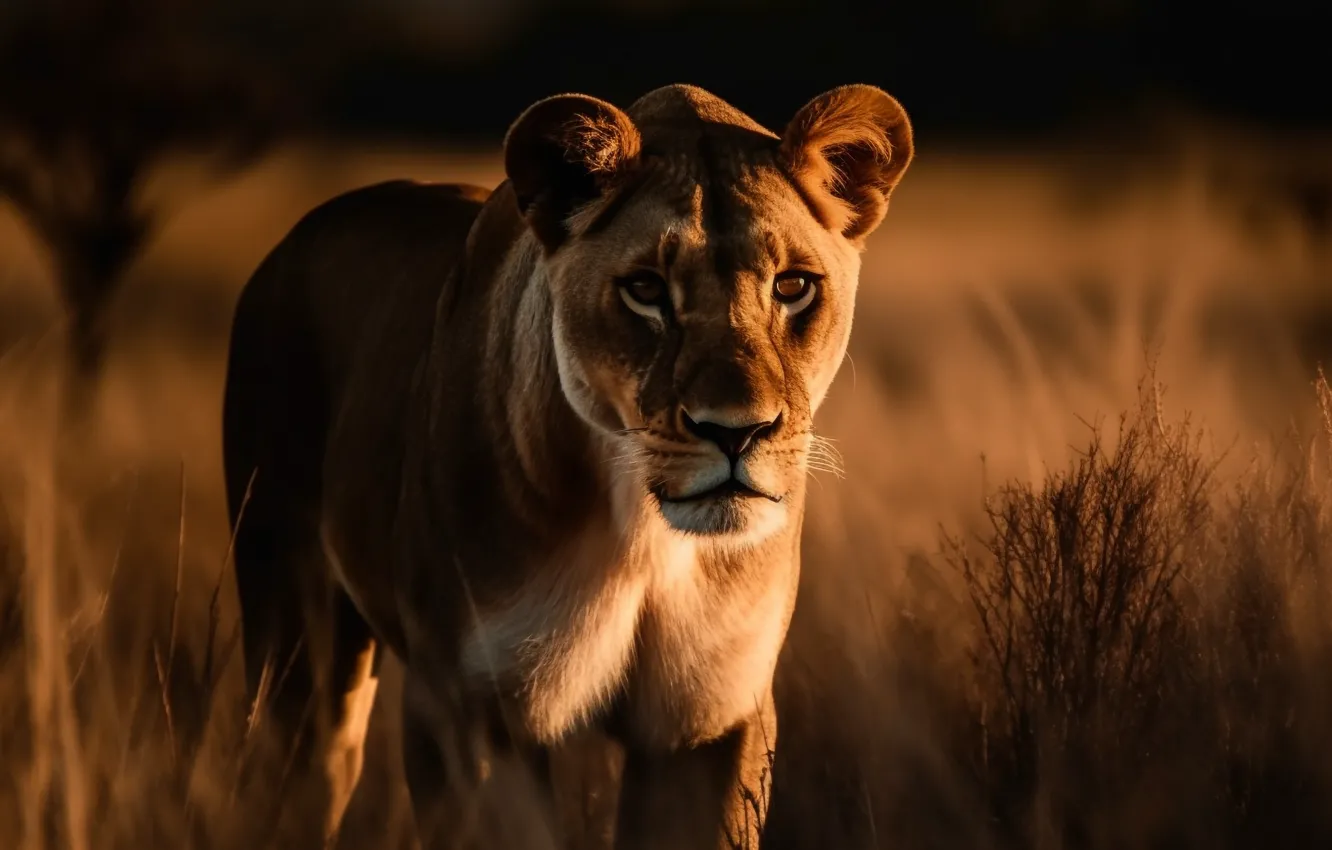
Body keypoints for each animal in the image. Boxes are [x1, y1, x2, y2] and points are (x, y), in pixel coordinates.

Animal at [221, 82, 912, 849]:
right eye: (646, 289)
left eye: (792, 287)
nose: (737, 432)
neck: (644, 538)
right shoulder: (470, 711)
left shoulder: (713, 717)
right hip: (296, 648)